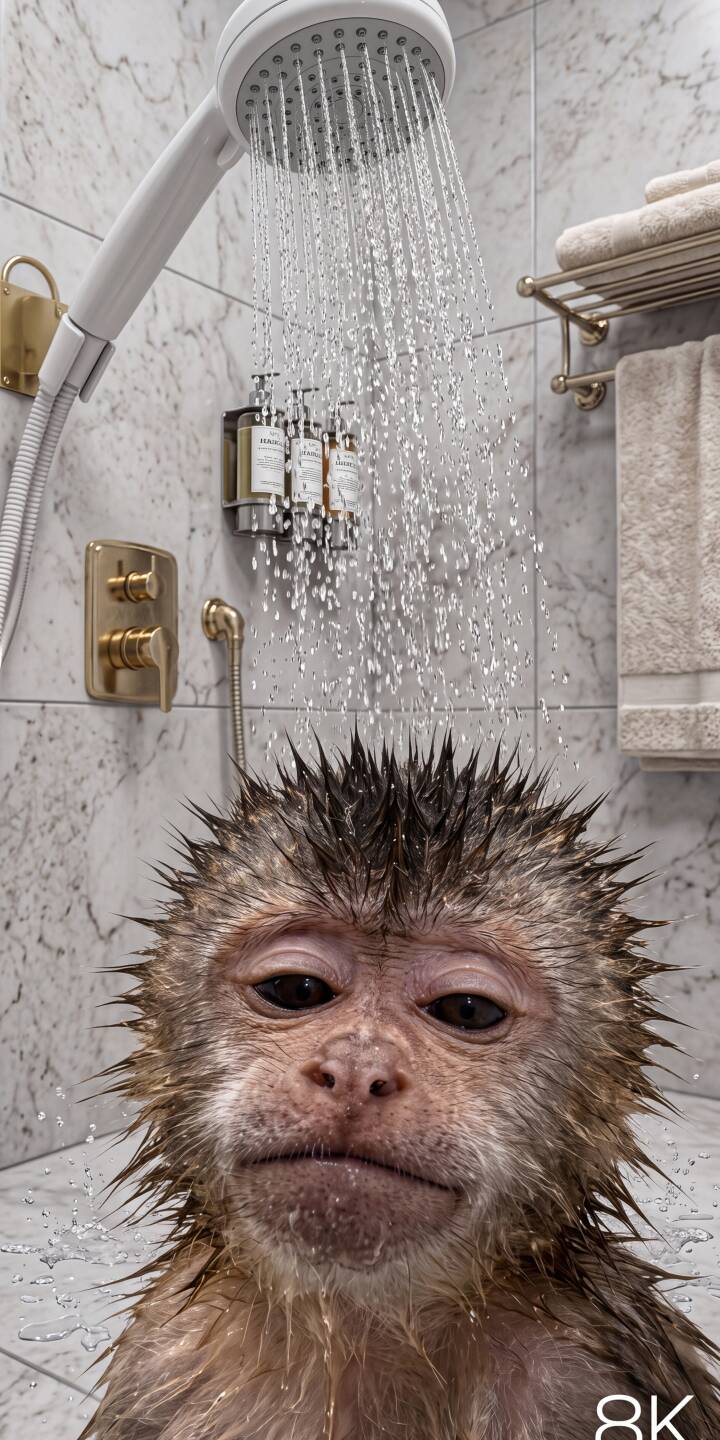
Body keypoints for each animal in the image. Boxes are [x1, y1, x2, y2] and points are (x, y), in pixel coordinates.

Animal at [84, 733, 720, 1440]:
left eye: (468, 1009)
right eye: (296, 989)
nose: (357, 1071)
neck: (362, 1325)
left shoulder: (591, 1378)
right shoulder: (156, 1363)